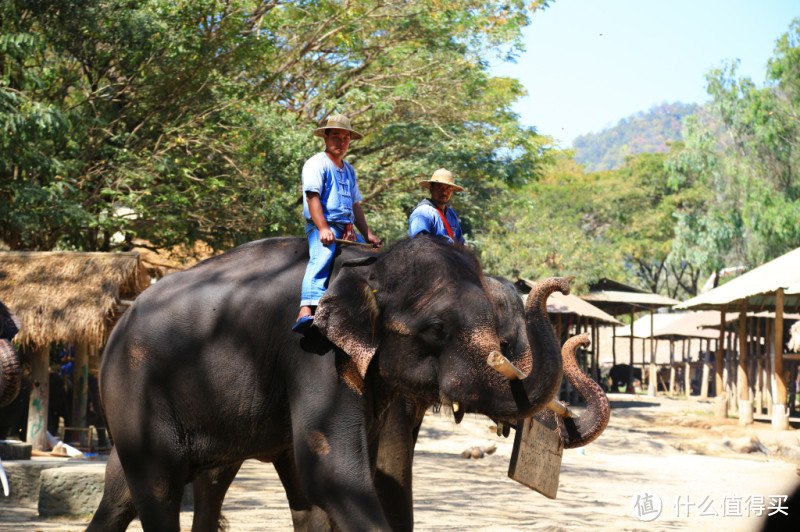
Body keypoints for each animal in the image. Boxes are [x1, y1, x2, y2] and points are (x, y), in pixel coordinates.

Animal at [87, 238, 608, 532]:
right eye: (438, 330)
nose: (562, 284)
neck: (368, 265)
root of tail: (118, 320)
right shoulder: (311, 351)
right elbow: (337, 469)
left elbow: (358, 476)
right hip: (132, 385)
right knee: (159, 487)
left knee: (135, 489)